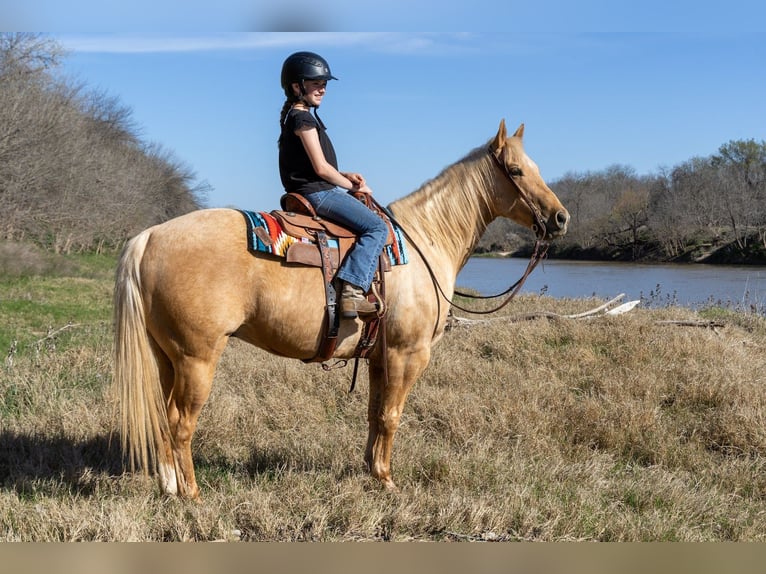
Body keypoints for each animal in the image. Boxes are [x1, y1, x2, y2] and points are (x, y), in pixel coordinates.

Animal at [113, 120, 570, 499]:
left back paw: (170, 486)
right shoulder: (408, 354)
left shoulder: (379, 357)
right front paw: (387, 480)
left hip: (167, 357)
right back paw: (191, 494)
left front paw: (371, 471)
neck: (424, 241)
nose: (560, 218)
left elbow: (374, 414)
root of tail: (151, 236)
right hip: (198, 359)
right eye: (516, 171)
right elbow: (391, 415)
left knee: (162, 418)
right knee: (180, 423)